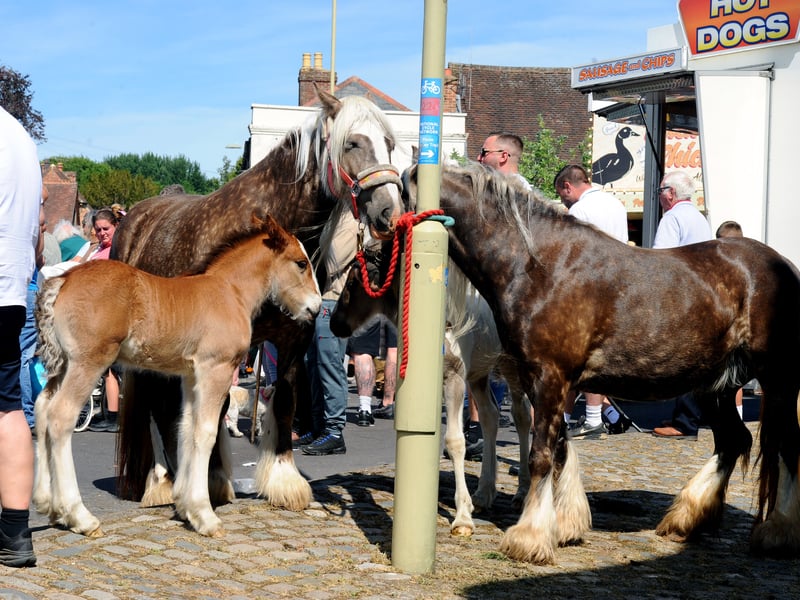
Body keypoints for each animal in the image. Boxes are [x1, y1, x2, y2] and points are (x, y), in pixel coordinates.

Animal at [33, 216, 321, 538]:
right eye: (301, 263)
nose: (316, 307)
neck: (229, 291)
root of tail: (63, 281)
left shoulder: (191, 375)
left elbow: (186, 427)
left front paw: (186, 506)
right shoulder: (216, 369)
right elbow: (206, 432)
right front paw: (205, 515)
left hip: (62, 365)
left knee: (42, 408)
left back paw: (49, 504)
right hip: (88, 362)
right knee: (60, 416)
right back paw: (79, 515)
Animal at [110, 88, 403, 511]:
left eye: (390, 144)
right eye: (352, 143)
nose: (389, 212)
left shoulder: (294, 339)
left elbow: (284, 401)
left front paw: (284, 481)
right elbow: (215, 413)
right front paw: (213, 481)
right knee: (155, 406)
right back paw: (161, 480)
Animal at [330, 245, 532, 536]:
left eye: (352, 283)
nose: (335, 323)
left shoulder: (455, 376)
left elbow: (455, 441)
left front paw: (462, 517)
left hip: (512, 368)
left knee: (522, 415)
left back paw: (522, 491)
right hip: (480, 373)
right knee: (490, 416)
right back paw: (484, 493)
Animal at [401, 162, 800, 563]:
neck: (537, 264)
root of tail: (784, 266)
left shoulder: (550, 378)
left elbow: (542, 455)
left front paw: (529, 537)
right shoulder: (542, 381)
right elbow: (559, 451)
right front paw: (564, 527)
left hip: (776, 379)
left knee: (784, 446)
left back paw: (778, 531)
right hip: (715, 385)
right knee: (733, 441)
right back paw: (687, 518)